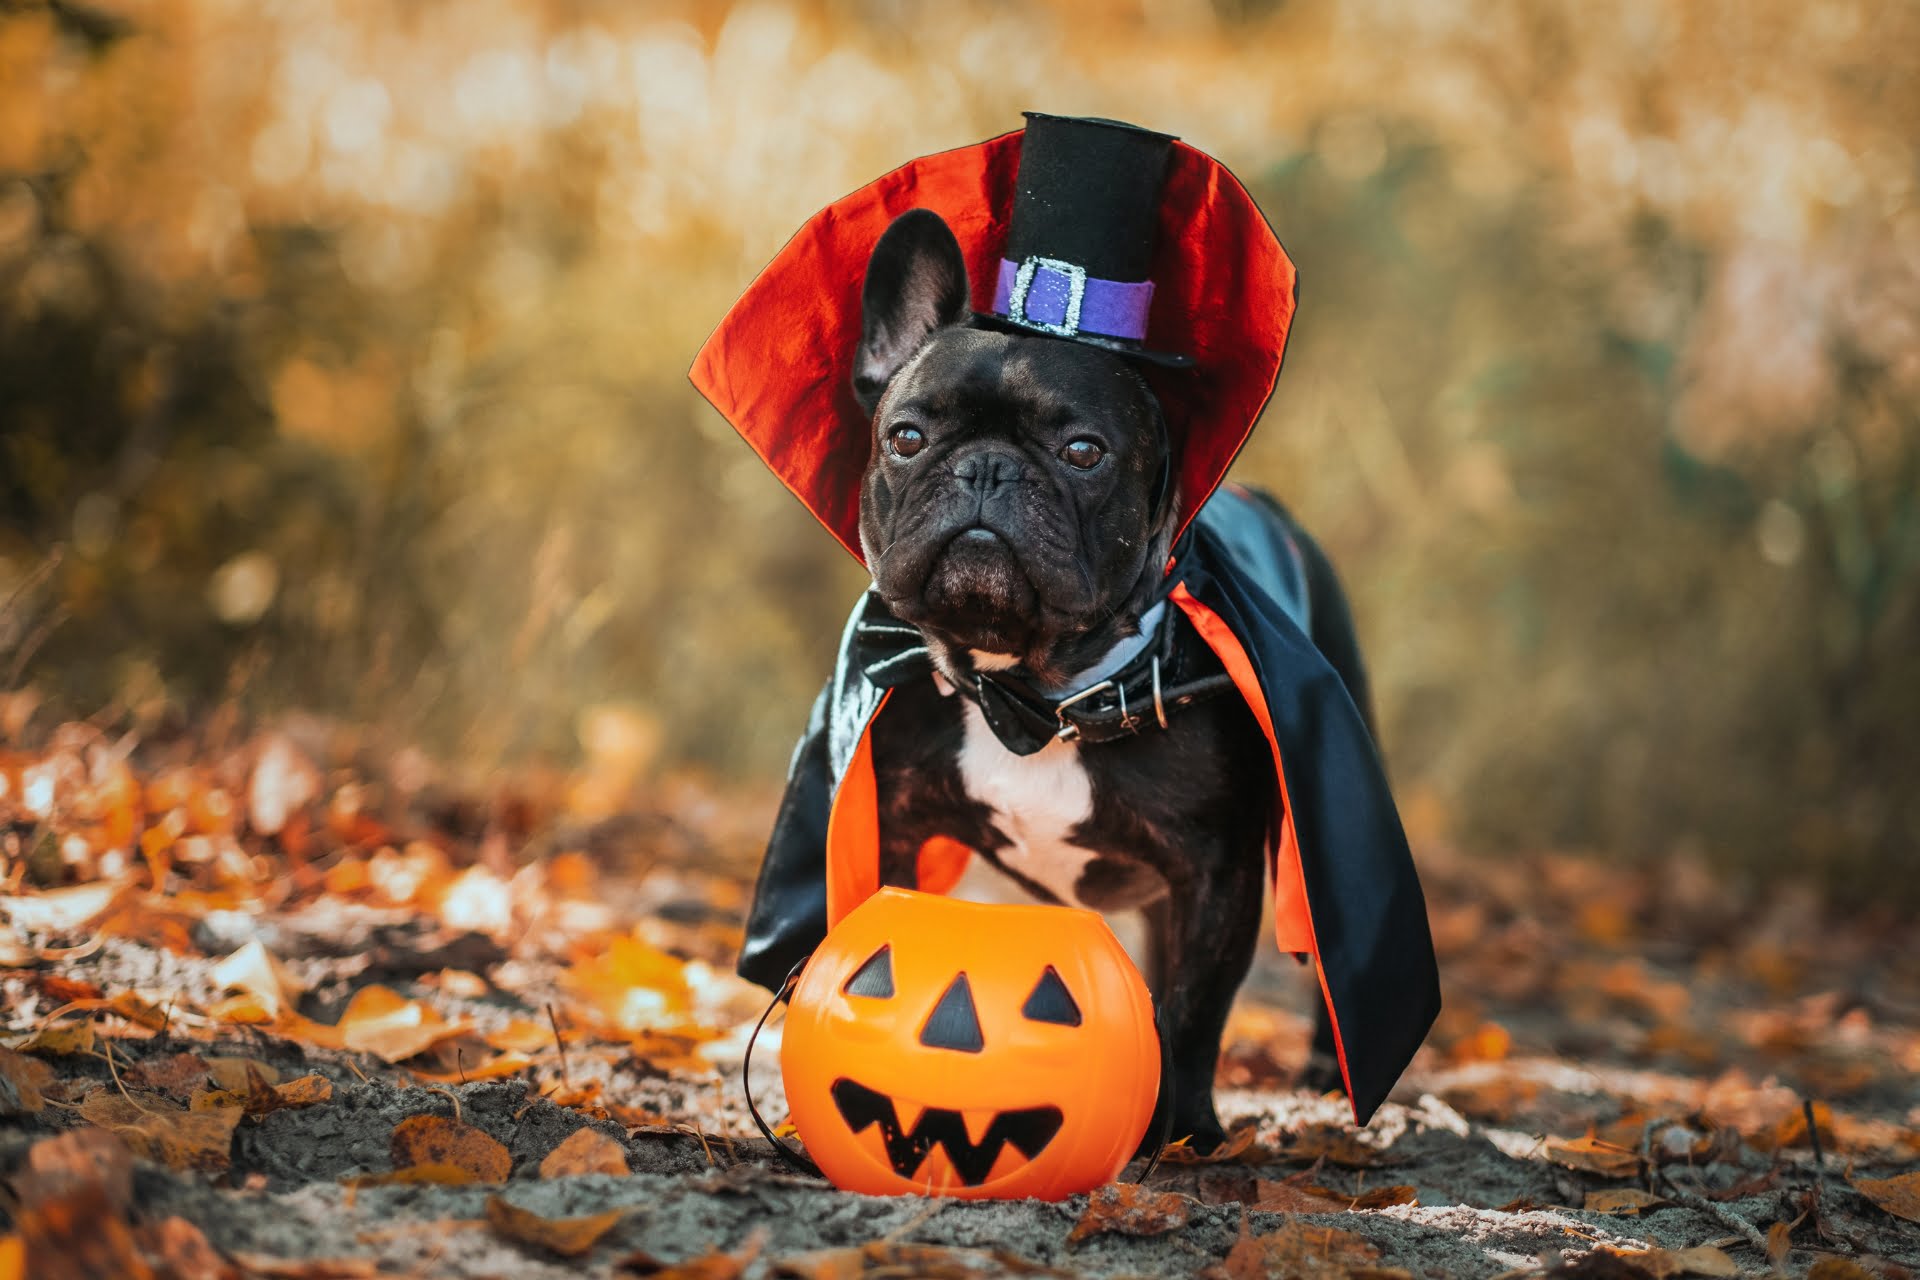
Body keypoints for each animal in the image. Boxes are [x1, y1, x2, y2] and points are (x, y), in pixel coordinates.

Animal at [840, 210, 1367, 1151]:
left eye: (1083, 451)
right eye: (906, 437)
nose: (986, 468)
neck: (1037, 693)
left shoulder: (1217, 875)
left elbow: (1194, 1011)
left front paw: (1179, 1130)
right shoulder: (892, 824)